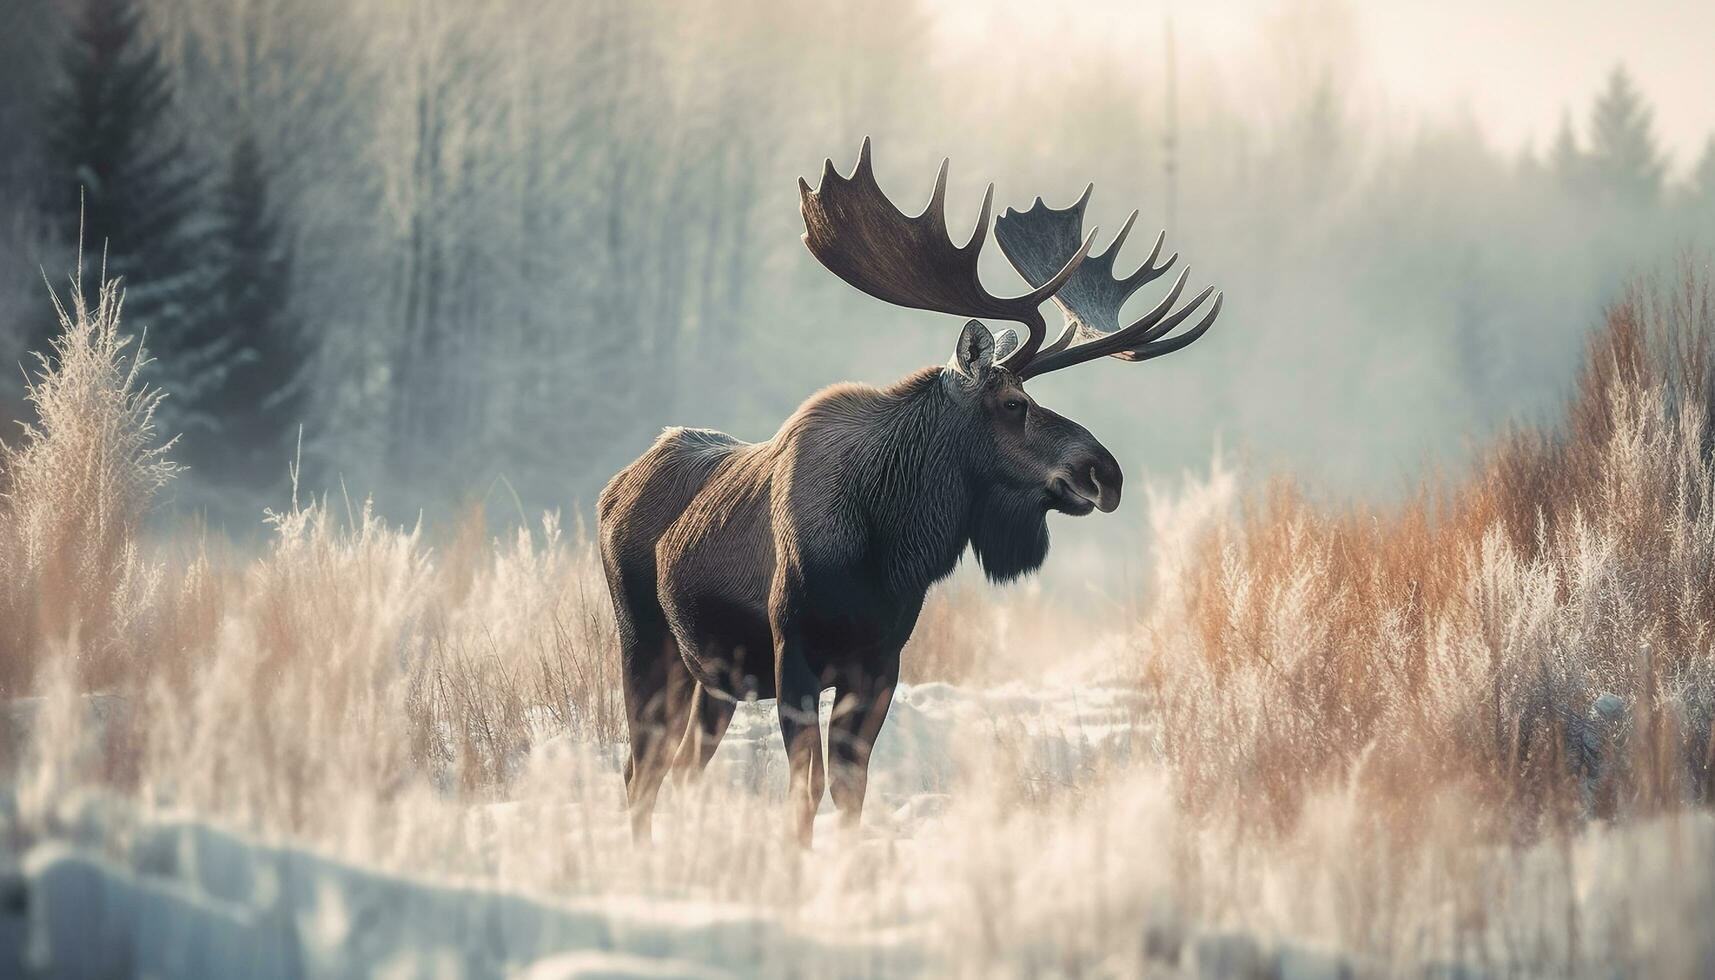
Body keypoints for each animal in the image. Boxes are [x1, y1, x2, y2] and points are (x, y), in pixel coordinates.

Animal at [600, 141, 1221, 847]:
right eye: (1014, 403)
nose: (1106, 473)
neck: (886, 548)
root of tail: (612, 491)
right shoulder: (794, 652)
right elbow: (805, 787)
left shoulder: (881, 661)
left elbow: (851, 786)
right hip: (644, 639)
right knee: (641, 768)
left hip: (714, 676)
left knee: (678, 769)